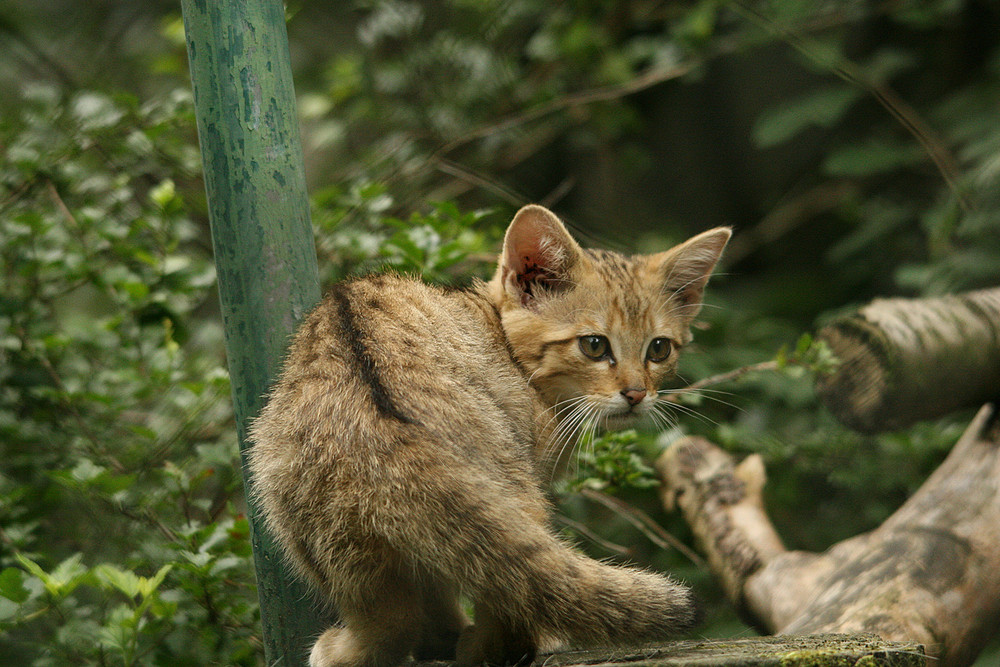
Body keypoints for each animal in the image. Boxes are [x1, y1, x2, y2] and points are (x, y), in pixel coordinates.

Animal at [248, 205, 736, 667]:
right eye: (594, 345)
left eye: (659, 349)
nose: (636, 394)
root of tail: (385, 428)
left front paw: (442, 635)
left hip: (322, 522)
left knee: (399, 615)